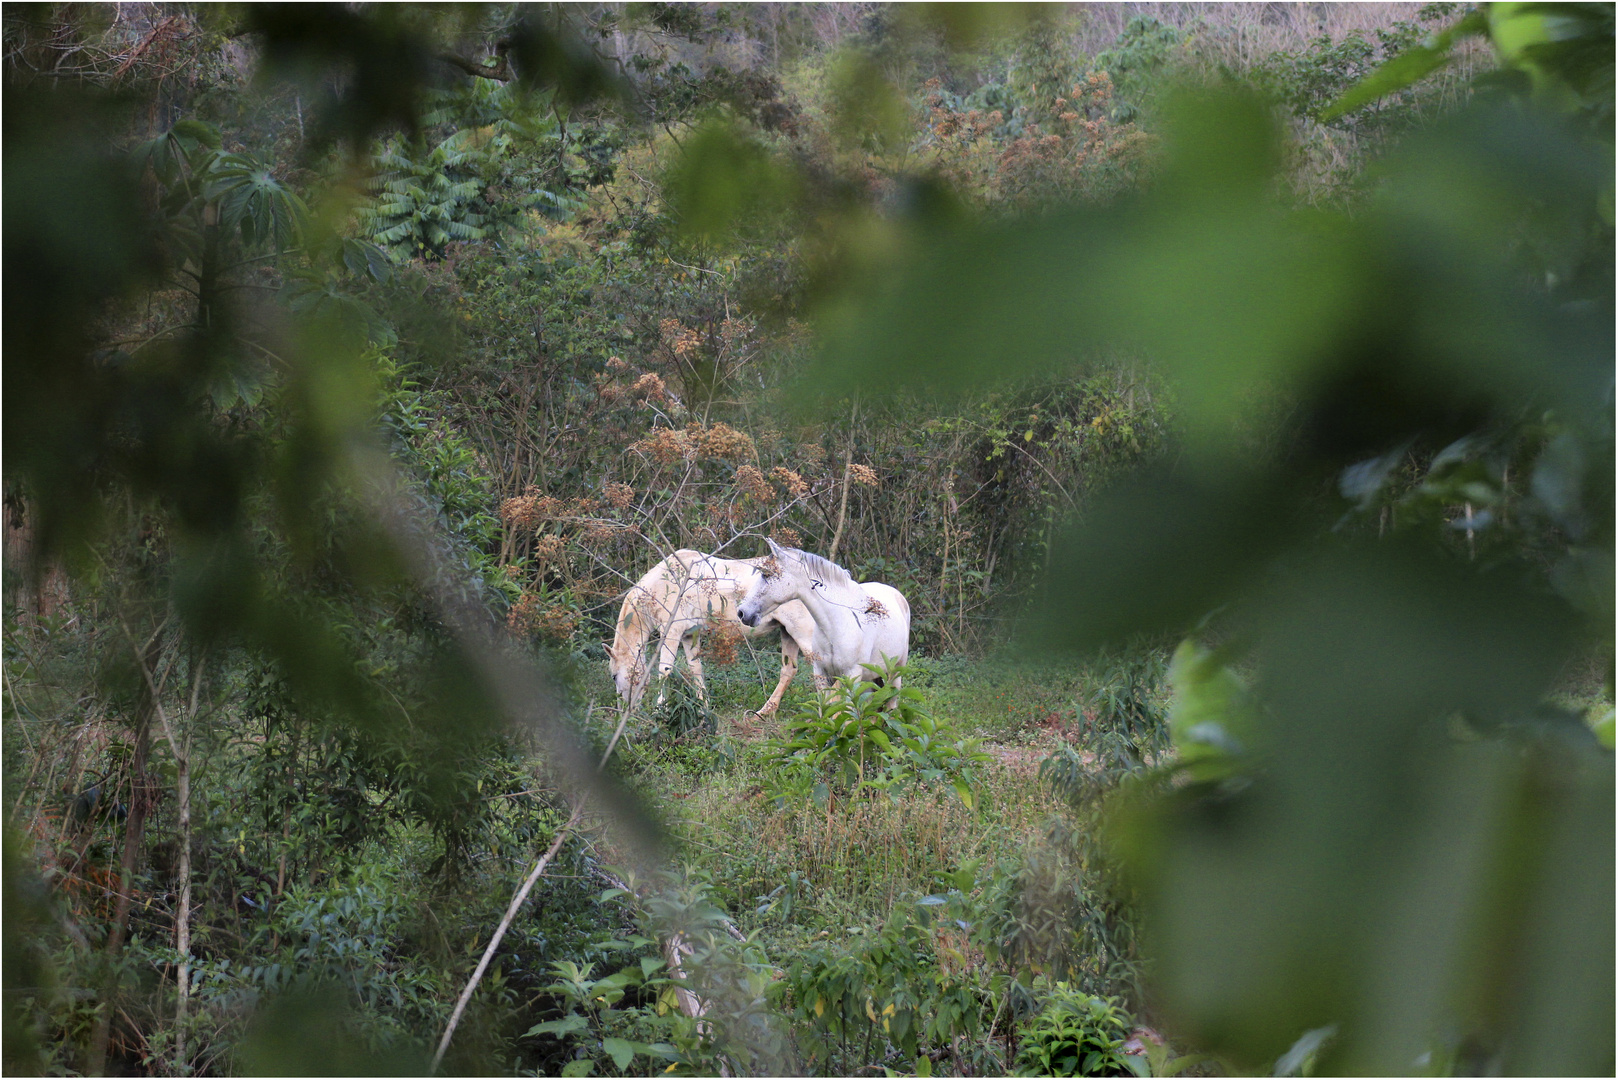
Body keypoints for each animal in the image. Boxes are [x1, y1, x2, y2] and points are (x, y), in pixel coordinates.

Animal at [605, 550, 815, 718]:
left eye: (614, 676)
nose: (624, 711)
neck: (661, 585)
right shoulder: (689, 635)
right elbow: (696, 669)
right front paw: (703, 707)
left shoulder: (671, 632)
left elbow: (664, 671)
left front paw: (660, 711)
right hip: (787, 632)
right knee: (788, 671)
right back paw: (764, 712)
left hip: (803, 633)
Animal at [737, 537, 912, 693]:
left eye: (766, 575)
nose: (742, 612)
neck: (836, 625)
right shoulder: (821, 675)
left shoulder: (851, 676)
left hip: (895, 674)